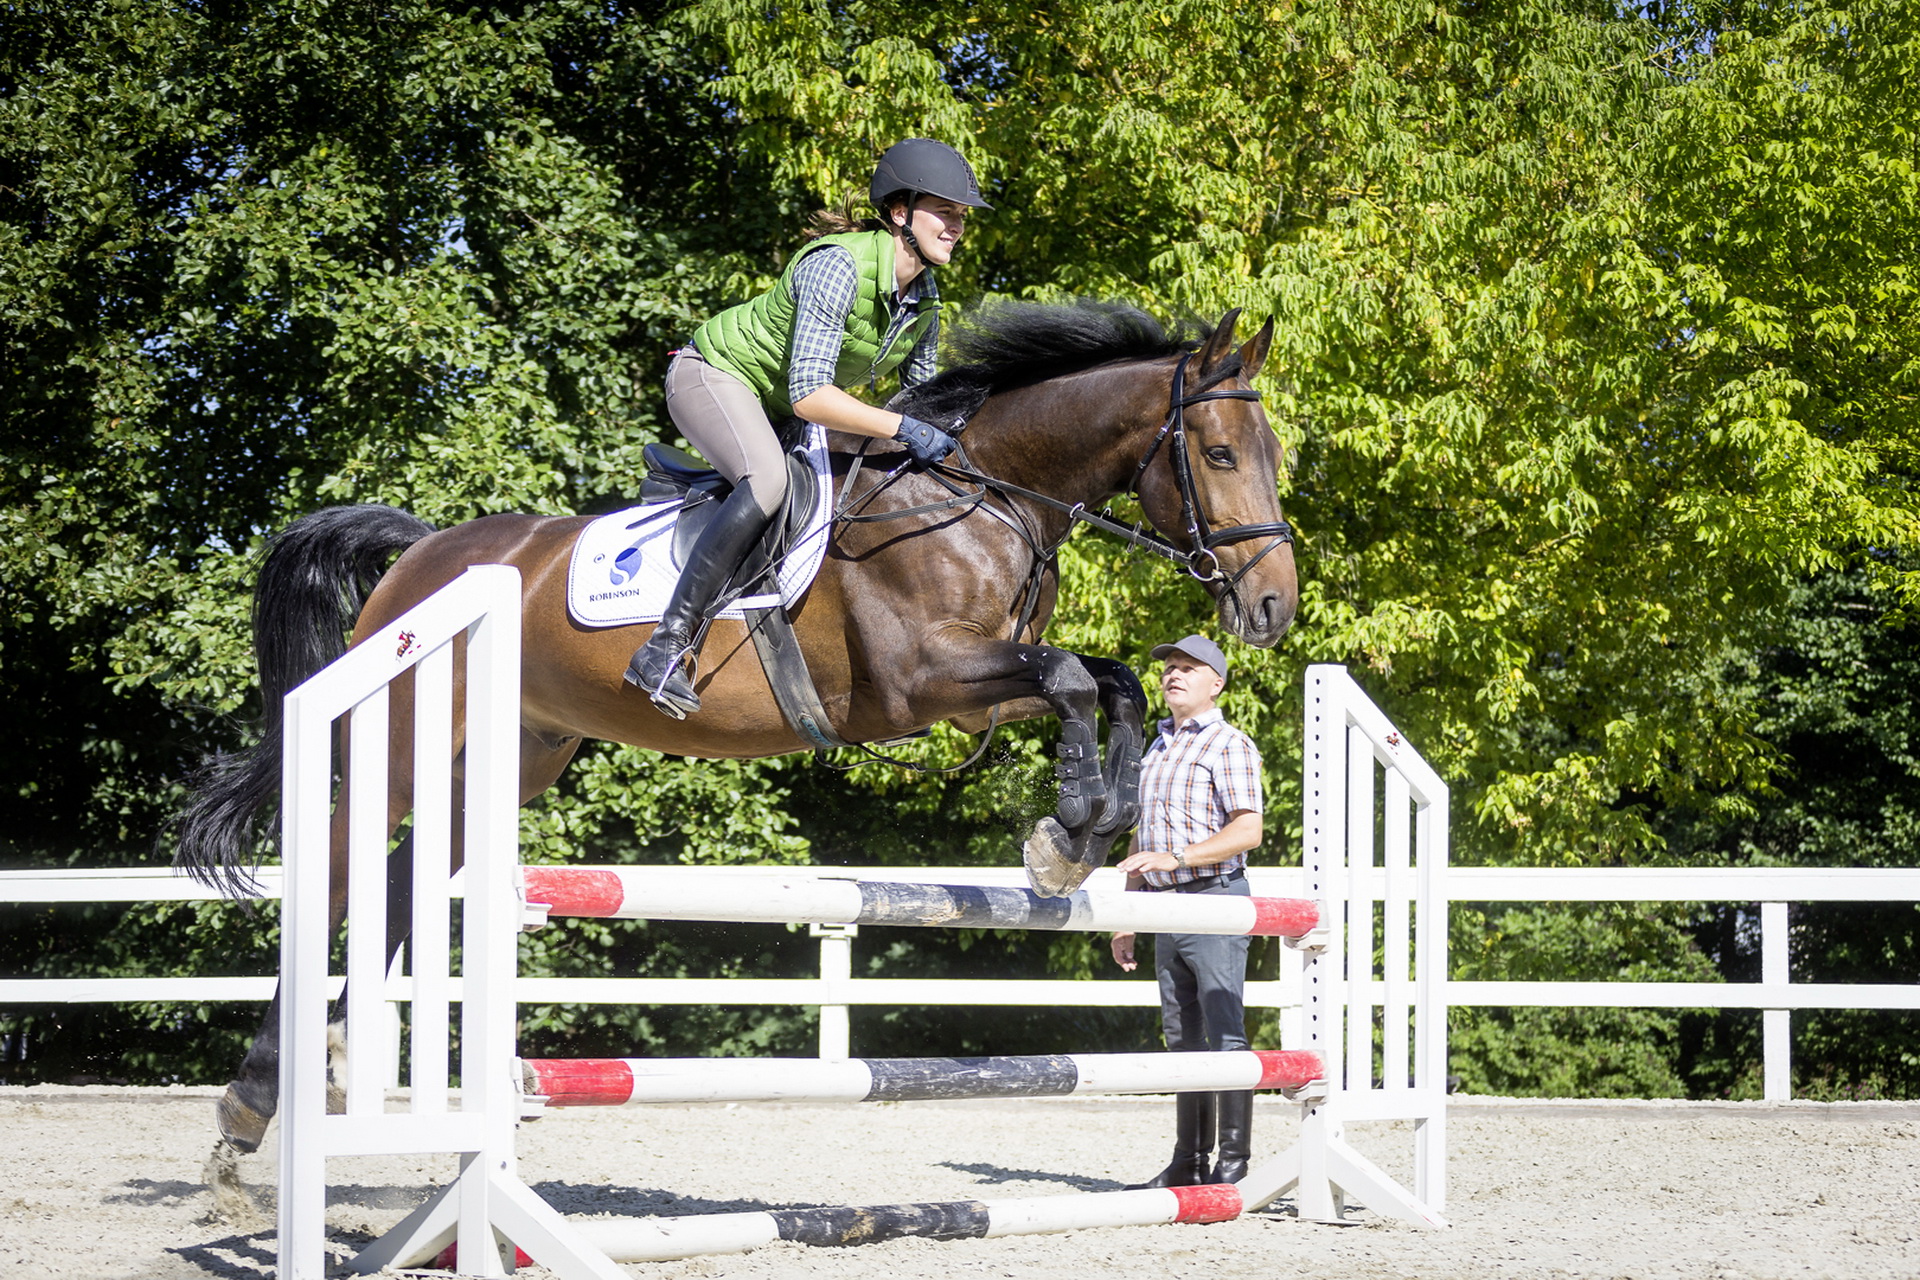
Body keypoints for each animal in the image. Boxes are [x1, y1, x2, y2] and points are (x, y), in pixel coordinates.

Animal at [172, 297, 1297, 1159]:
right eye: (1219, 452)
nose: (1274, 606)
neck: (981, 494)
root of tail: (420, 553)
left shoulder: (980, 683)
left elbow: (1113, 684)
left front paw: (1080, 834)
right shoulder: (921, 681)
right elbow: (1071, 677)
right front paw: (1069, 826)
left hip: (506, 754)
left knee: (402, 883)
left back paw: (298, 1085)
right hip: (405, 744)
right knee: (337, 874)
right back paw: (250, 1108)